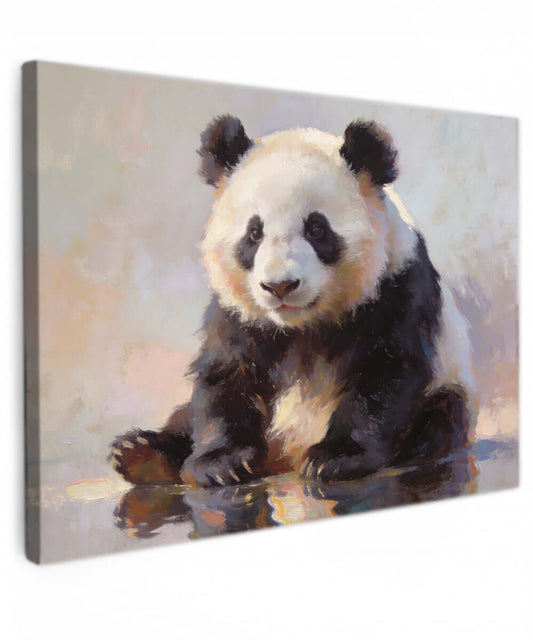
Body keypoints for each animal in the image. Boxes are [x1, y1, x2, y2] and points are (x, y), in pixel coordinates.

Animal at [111, 114, 479, 488]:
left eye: (317, 229)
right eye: (254, 233)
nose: (280, 286)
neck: (301, 326)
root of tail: (282, 458)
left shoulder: (397, 288)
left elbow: (385, 371)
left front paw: (336, 457)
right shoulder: (238, 313)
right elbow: (226, 375)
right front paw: (220, 462)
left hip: (449, 388)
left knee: (441, 417)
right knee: (184, 416)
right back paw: (141, 455)